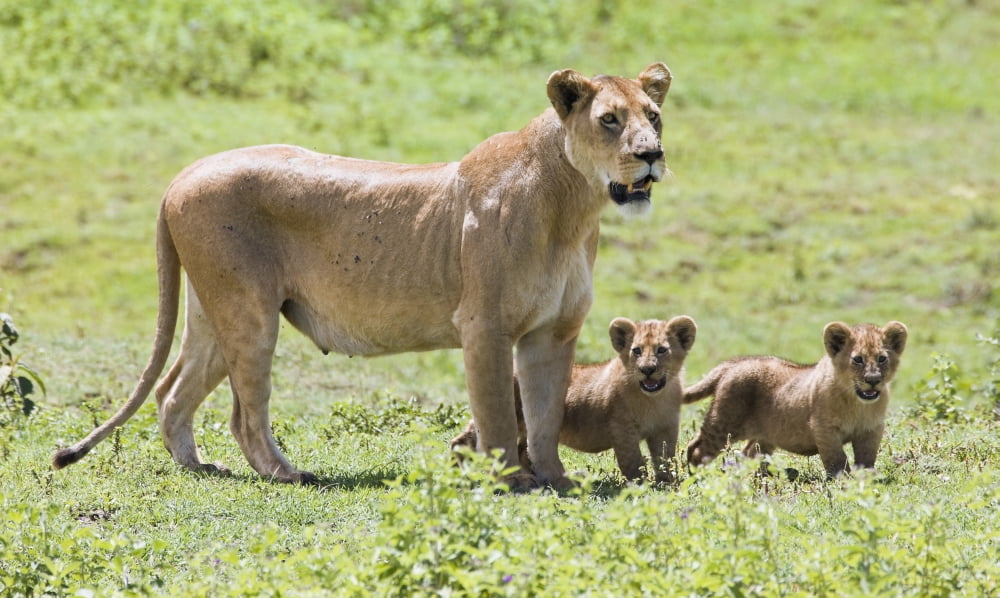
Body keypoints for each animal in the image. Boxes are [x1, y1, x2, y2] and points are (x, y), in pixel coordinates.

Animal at [451, 315, 697, 484]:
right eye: (636, 351)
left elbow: (666, 460)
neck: (653, 399)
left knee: (523, 449)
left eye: (662, 350)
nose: (647, 370)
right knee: (464, 440)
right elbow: (634, 463)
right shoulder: (622, 430)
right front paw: (641, 486)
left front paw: (668, 484)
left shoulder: (665, 429)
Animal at [683, 321, 908, 478]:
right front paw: (842, 480)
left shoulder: (872, 429)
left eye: (882, 358)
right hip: (724, 422)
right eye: (858, 359)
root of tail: (734, 363)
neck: (857, 403)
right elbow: (837, 459)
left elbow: (867, 458)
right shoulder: (824, 428)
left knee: (748, 452)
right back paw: (698, 478)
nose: (873, 380)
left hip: (764, 435)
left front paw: (867, 478)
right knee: (697, 448)